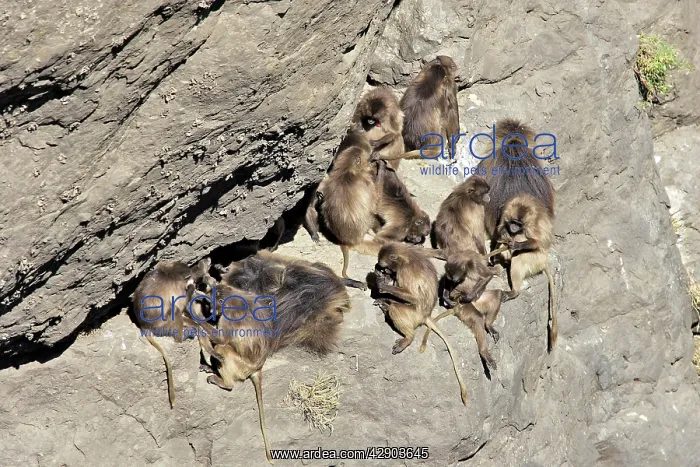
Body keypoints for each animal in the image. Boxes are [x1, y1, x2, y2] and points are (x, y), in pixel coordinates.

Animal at [131, 258, 216, 408]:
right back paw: (183, 336)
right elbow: (182, 302)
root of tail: (145, 326)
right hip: (164, 326)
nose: (208, 259)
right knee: (175, 309)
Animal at [372, 242, 468, 405]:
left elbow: (414, 298)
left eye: (385, 266)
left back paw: (407, 336)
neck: (405, 256)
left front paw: (382, 285)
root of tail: (426, 315)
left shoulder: (404, 271)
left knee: (397, 309)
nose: (384, 271)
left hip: (414, 315)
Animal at [495, 193, 557, 350]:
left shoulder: (531, 223)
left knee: (519, 255)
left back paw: (514, 291)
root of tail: (544, 261)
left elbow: (537, 241)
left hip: (536, 259)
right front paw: (505, 232)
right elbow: (501, 230)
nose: (513, 227)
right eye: (513, 222)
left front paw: (517, 244)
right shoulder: (506, 212)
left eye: (518, 223)